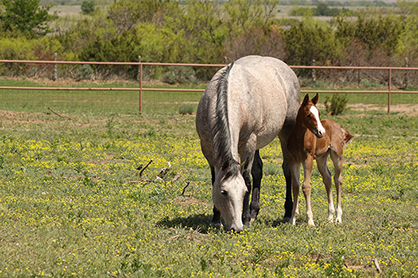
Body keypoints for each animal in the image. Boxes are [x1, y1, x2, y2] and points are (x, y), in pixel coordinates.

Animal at [196, 55, 300, 231]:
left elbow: (247, 178)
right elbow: (214, 178)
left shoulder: (248, 142)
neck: (232, 94)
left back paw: (287, 214)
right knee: (258, 170)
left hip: (285, 133)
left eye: (244, 192)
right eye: (223, 192)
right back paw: (253, 212)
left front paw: (245, 220)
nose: (236, 228)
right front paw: (216, 218)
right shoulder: (207, 147)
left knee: (287, 169)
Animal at [290, 93, 354, 226]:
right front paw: (292, 219)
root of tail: (339, 126)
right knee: (327, 178)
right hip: (321, 158)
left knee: (338, 179)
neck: (299, 138)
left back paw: (338, 217)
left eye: (319, 114)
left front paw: (310, 220)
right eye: (308, 115)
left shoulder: (307, 159)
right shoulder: (293, 160)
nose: (321, 132)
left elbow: (306, 186)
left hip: (336, 155)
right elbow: (295, 186)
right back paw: (330, 217)